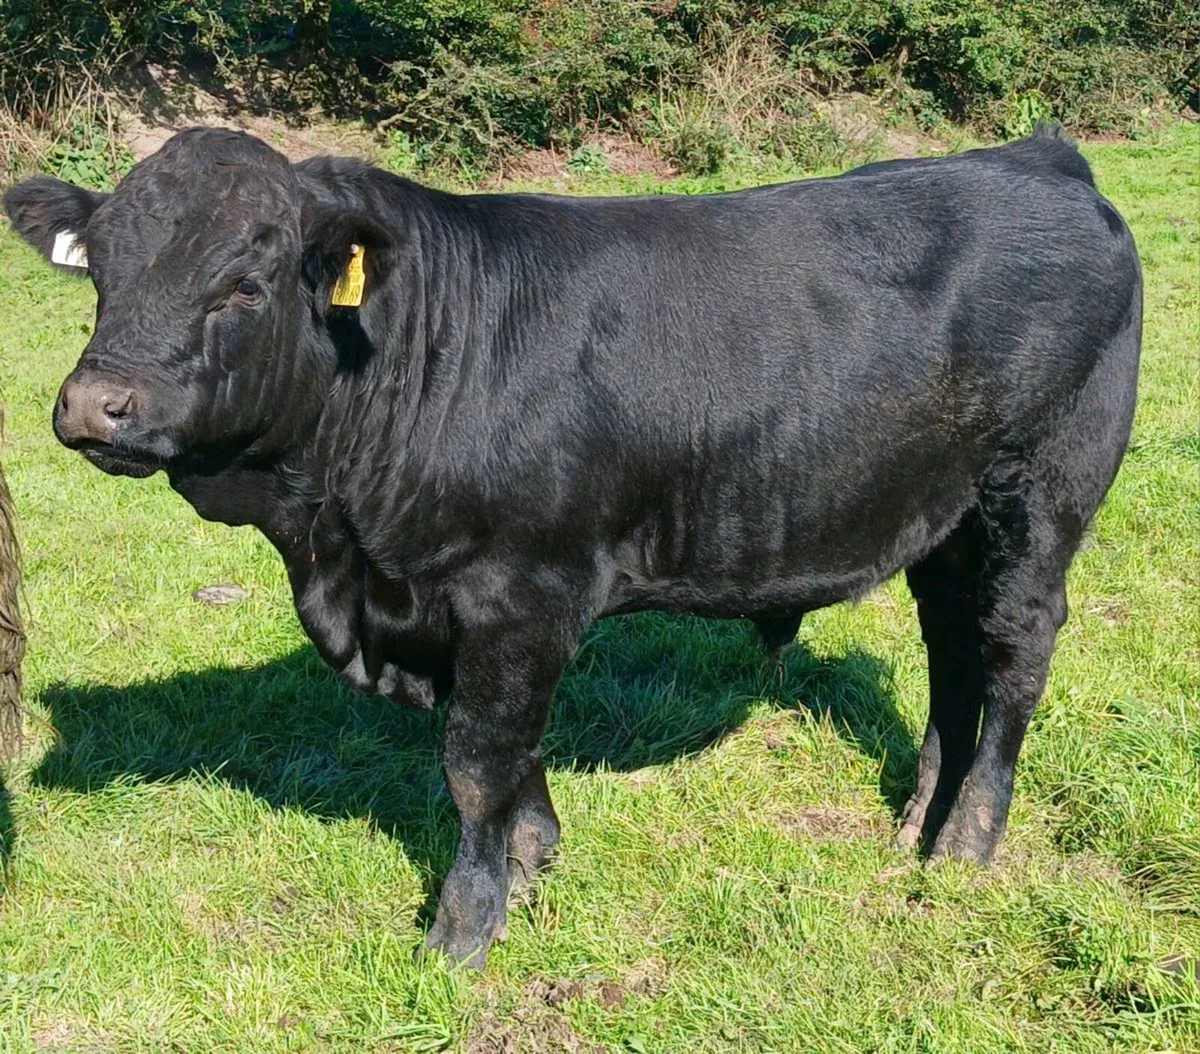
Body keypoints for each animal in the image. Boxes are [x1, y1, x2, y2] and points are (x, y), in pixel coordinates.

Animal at [4, 125, 1141, 967]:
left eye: (246, 280)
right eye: (101, 274)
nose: (96, 406)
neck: (342, 551)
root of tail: (1036, 154)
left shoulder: (524, 590)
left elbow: (476, 760)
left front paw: (462, 931)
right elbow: (508, 751)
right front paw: (534, 858)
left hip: (1040, 495)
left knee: (1015, 654)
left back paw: (966, 843)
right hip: (940, 518)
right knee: (953, 649)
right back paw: (916, 819)